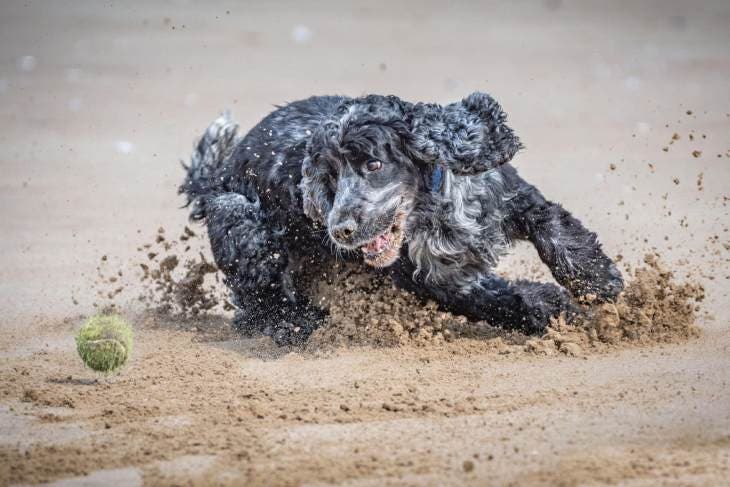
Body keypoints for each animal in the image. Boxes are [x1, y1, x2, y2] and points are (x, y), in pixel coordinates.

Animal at [181, 93, 620, 346]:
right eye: (328, 177)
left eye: (374, 164)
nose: (339, 230)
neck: (434, 209)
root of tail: (214, 181)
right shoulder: (434, 281)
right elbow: (501, 299)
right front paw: (555, 307)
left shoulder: (514, 198)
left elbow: (556, 231)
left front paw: (598, 281)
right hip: (241, 221)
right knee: (261, 301)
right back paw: (300, 324)